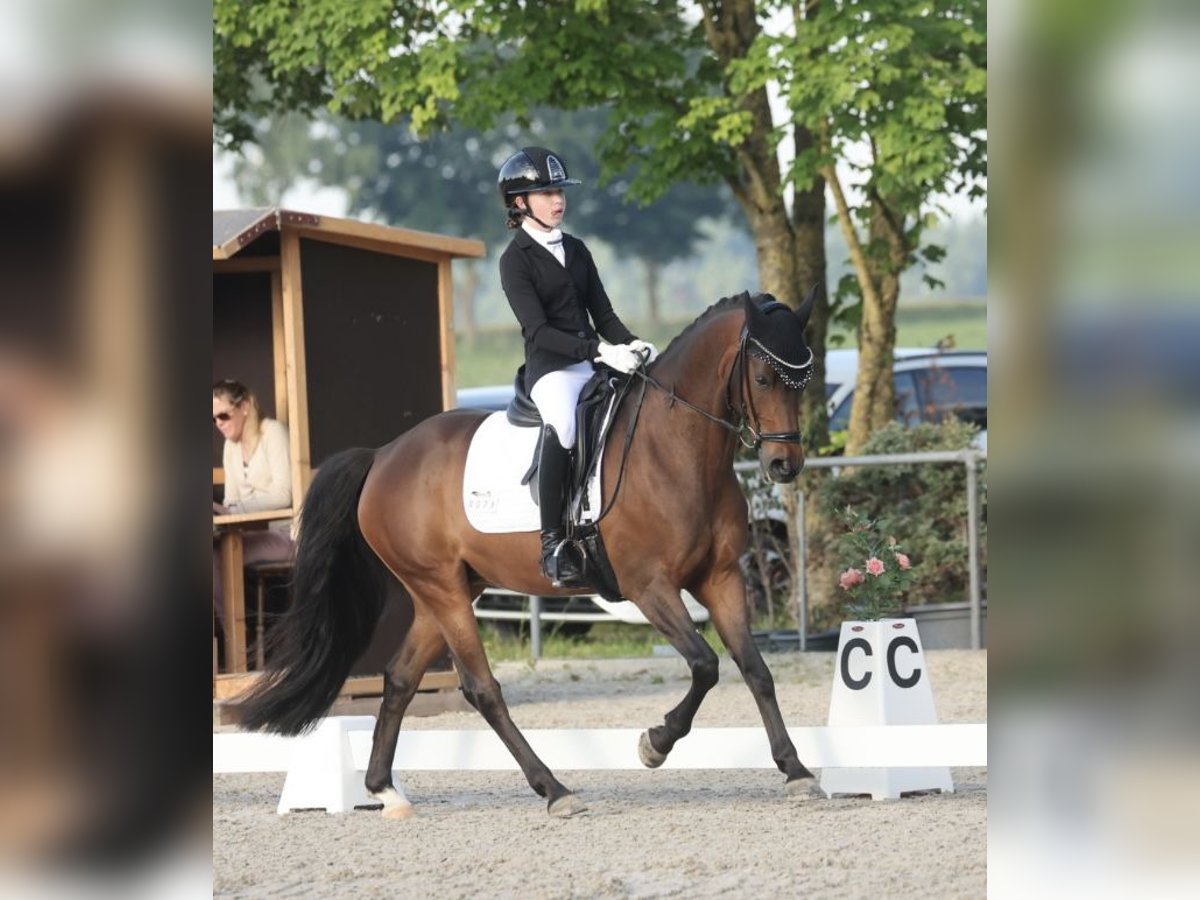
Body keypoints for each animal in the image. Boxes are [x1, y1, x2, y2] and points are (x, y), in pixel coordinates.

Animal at [236, 289, 816, 816]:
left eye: (804, 382)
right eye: (763, 379)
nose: (784, 466)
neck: (676, 447)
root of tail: (382, 455)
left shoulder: (721, 578)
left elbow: (754, 669)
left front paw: (796, 770)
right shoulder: (648, 586)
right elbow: (704, 664)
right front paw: (655, 743)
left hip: (444, 590)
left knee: (401, 677)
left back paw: (385, 790)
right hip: (442, 589)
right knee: (482, 689)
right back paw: (554, 790)